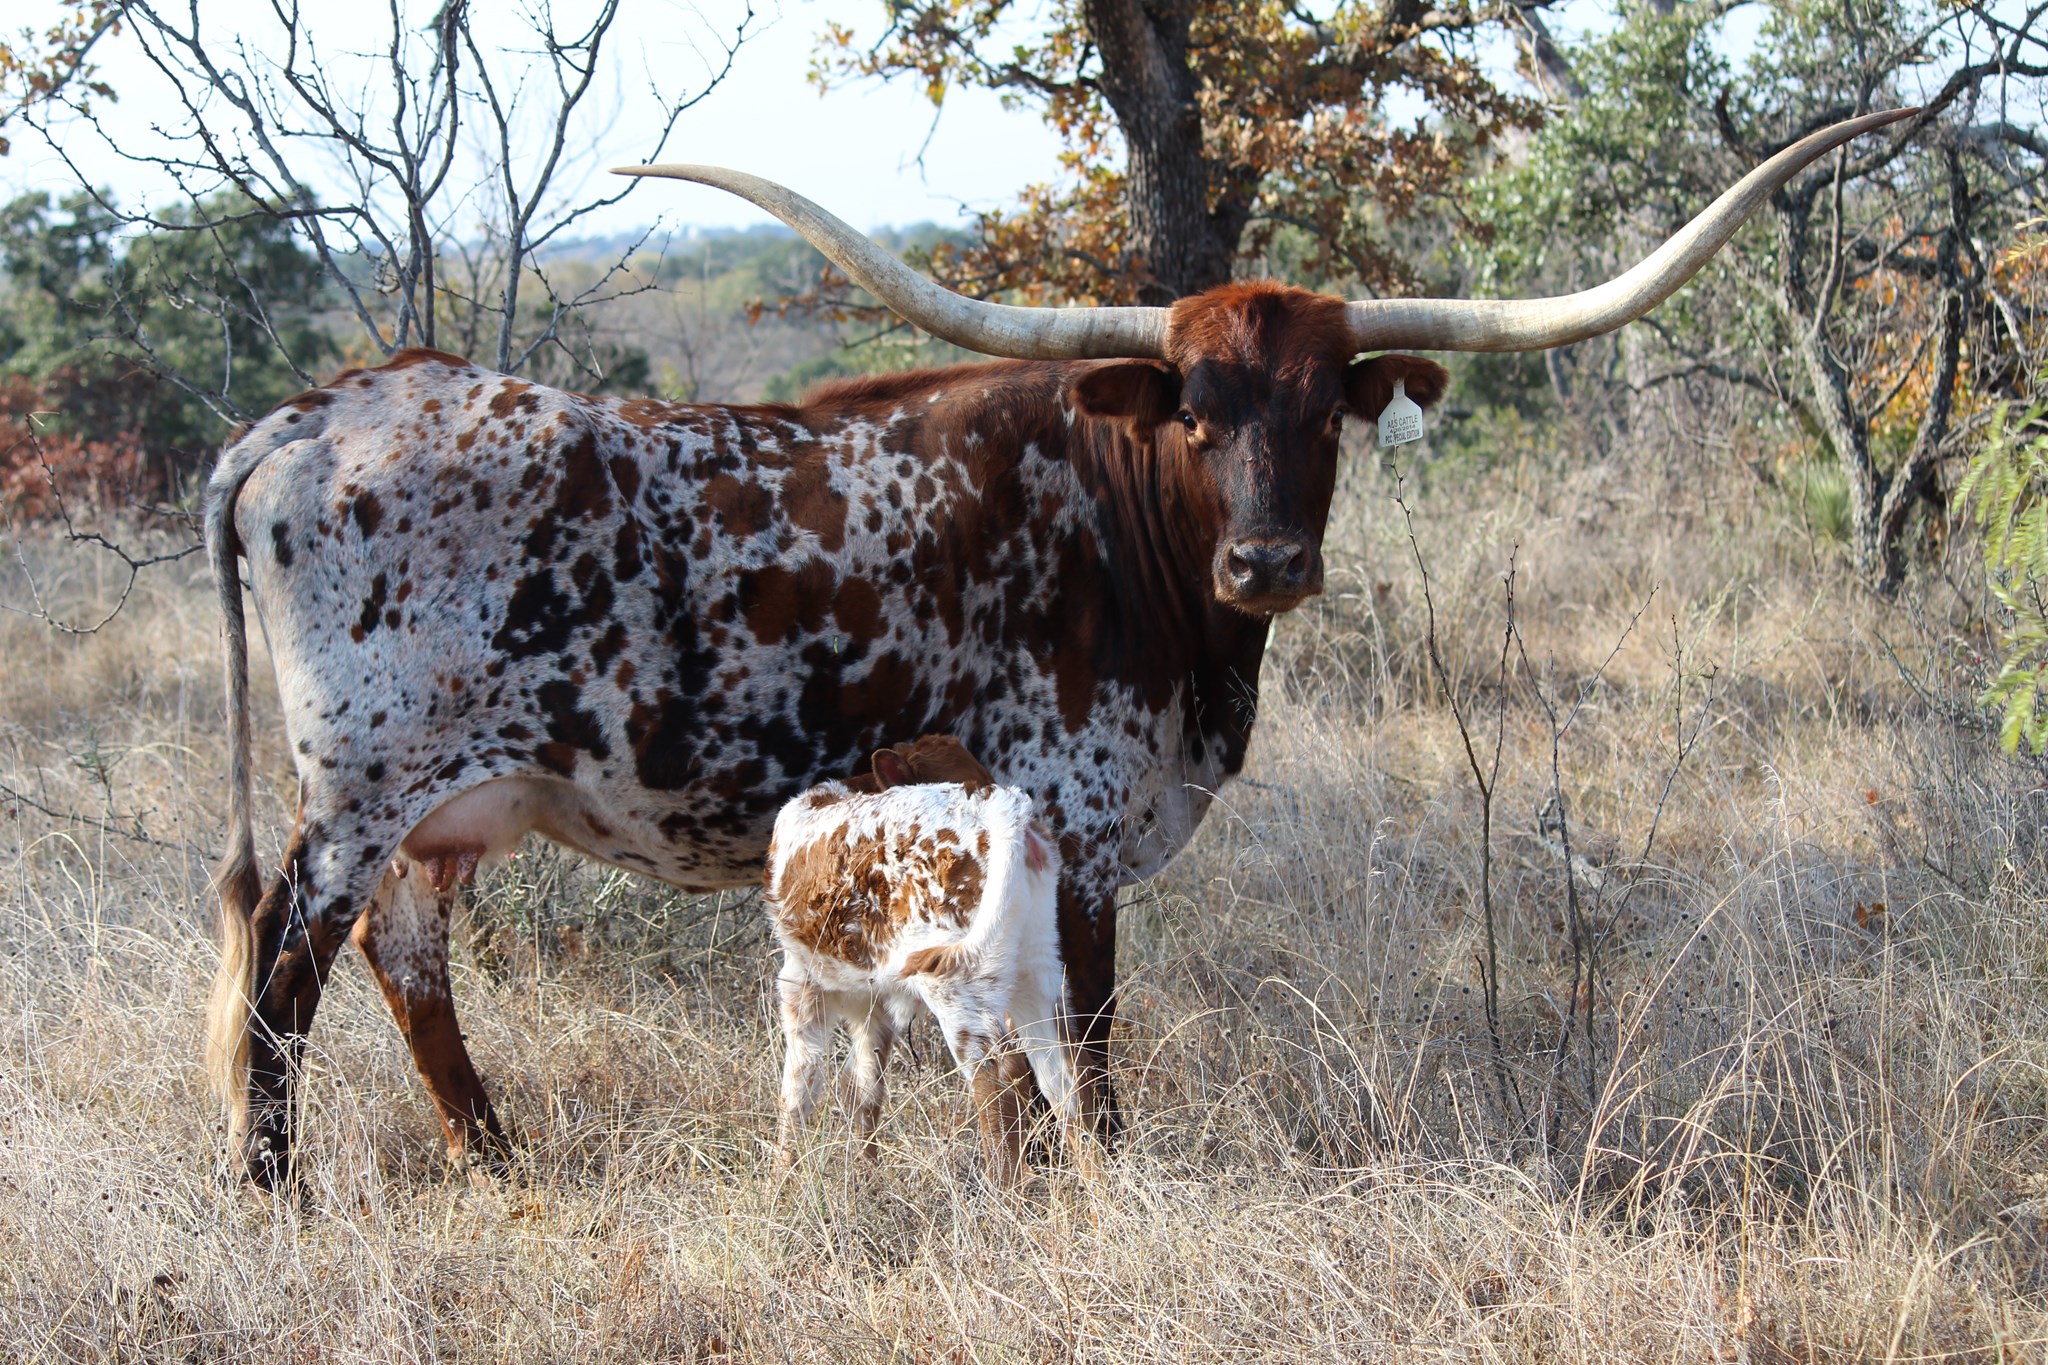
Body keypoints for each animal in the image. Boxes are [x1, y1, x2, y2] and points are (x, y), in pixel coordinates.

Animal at [764, 735, 1079, 1185]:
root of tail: (992, 800)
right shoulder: (875, 1000)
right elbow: (866, 1086)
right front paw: (866, 1175)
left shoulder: (800, 981)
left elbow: (799, 1089)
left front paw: (781, 1182)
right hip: (1035, 970)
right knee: (1065, 1079)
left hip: (956, 988)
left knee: (1001, 1076)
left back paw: (1003, 1196)